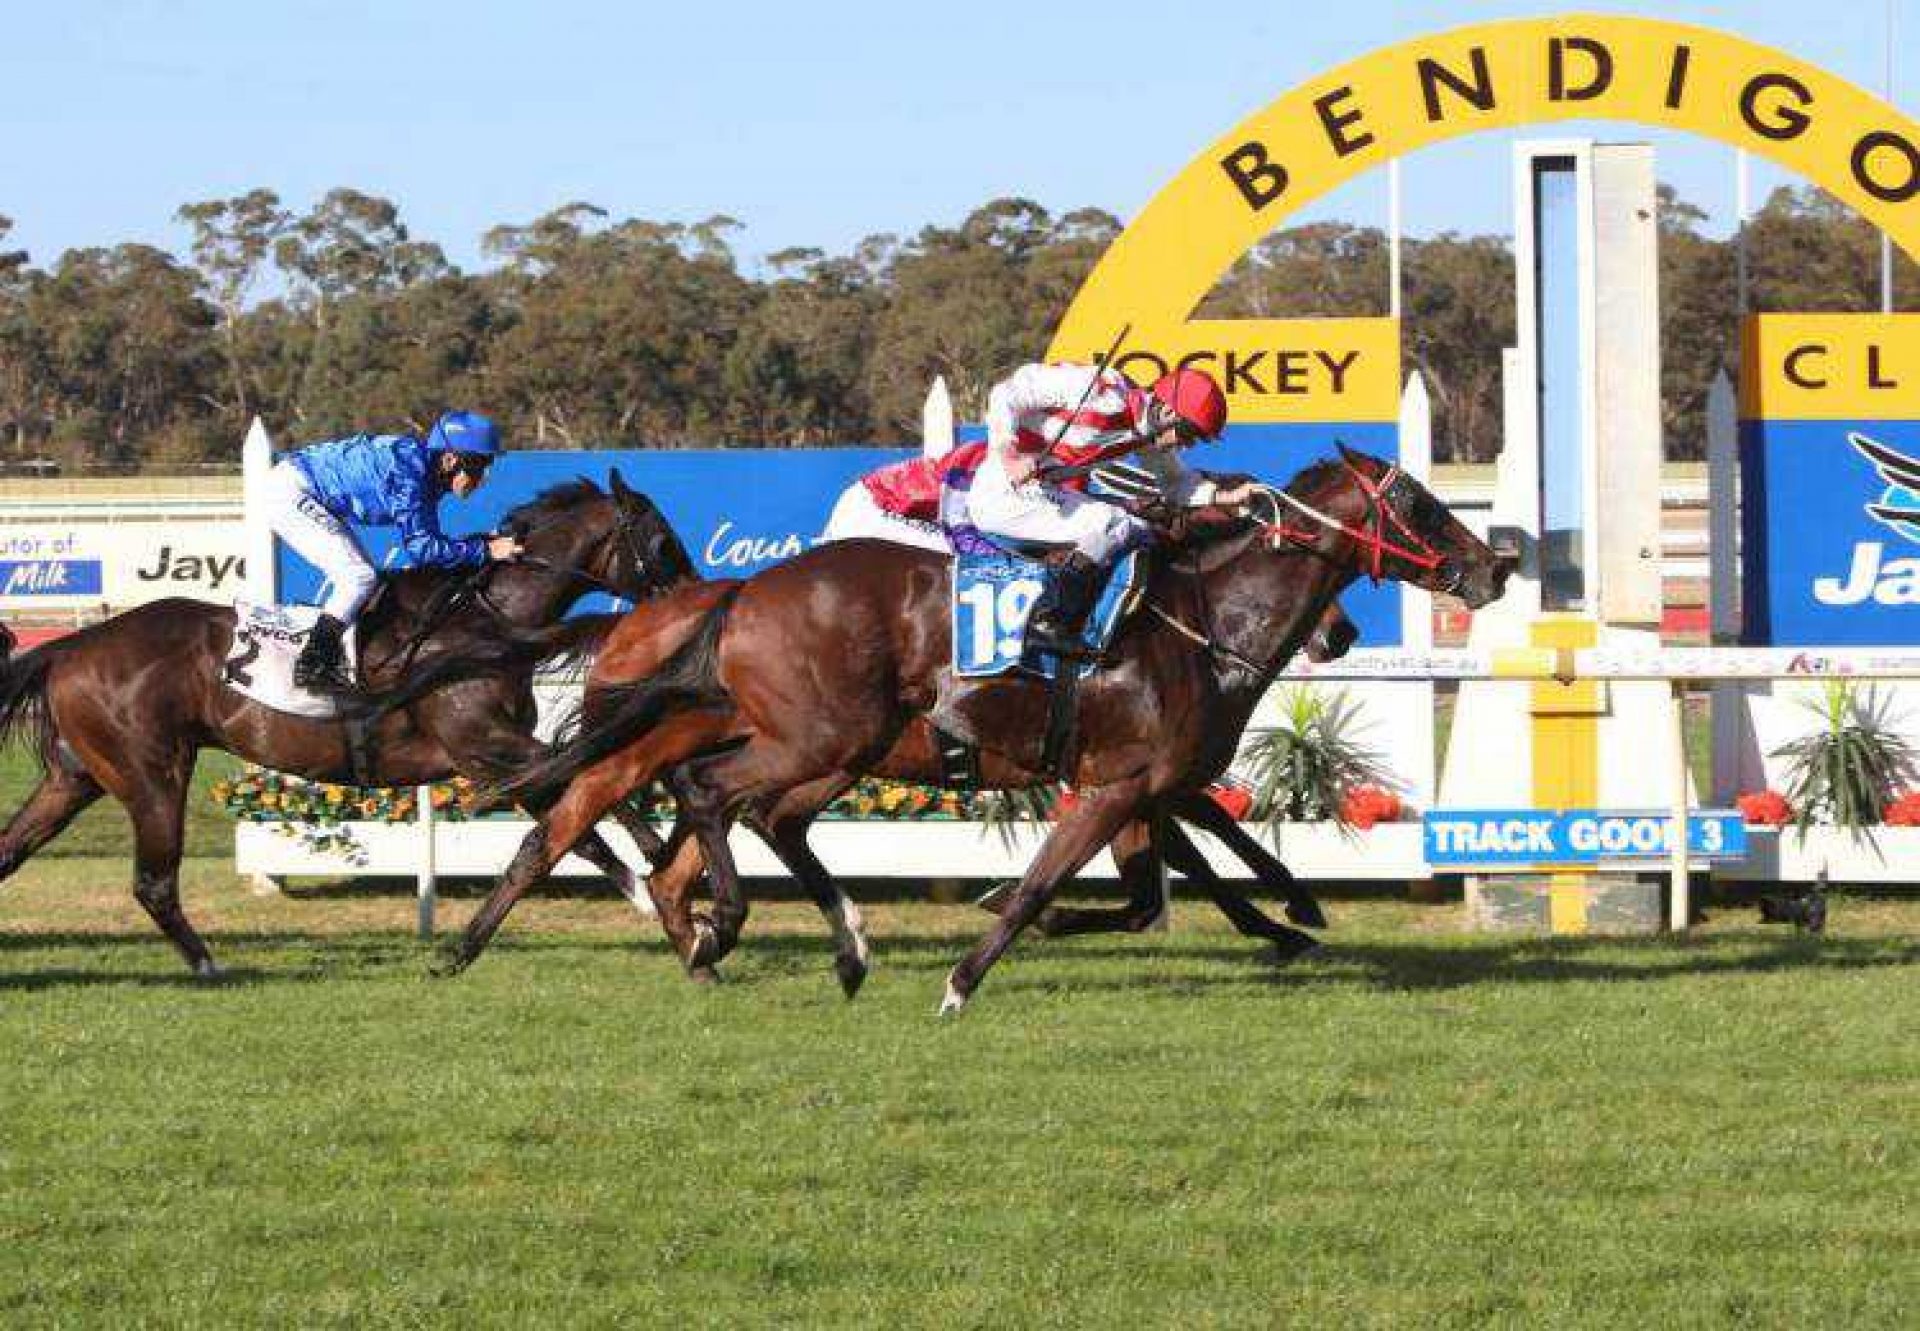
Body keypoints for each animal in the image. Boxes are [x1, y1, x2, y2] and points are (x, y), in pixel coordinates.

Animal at [0, 472, 698, 971]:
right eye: (664, 541)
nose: (694, 596)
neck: (485, 622)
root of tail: (72, 646)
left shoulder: (485, 759)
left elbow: (577, 831)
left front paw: (649, 891)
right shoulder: (484, 744)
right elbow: (593, 790)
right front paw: (658, 861)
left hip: (78, 775)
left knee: (11, 850)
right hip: (153, 773)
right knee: (153, 882)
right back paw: (207, 965)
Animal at [441, 441, 1505, 998]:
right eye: (1419, 503)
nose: (1491, 567)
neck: (1198, 617)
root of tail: (738, 595)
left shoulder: (1137, 783)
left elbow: (1160, 882)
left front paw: (1293, 912)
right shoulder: (1123, 778)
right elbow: (1081, 879)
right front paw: (978, 955)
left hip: (824, 744)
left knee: (722, 820)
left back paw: (737, 937)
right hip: (811, 736)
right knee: (663, 804)